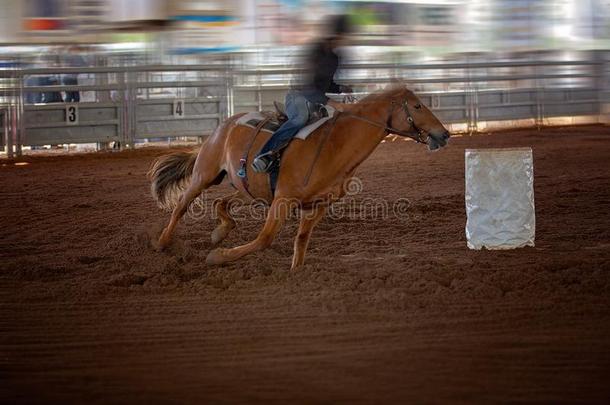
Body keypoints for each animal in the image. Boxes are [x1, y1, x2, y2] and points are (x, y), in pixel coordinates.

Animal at [150, 85, 448, 268]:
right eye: (417, 106)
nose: (444, 133)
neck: (335, 145)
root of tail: (223, 126)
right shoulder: (284, 199)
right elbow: (265, 239)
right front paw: (217, 257)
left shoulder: (317, 205)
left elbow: (302, 239)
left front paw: (296, 271)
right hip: (205, 174)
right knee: (181, 205)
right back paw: (163, 242)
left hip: (250, 187)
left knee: (221, 202)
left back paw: (220, 231)